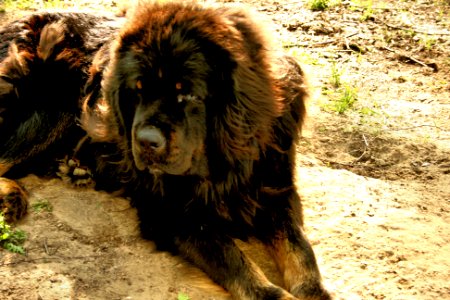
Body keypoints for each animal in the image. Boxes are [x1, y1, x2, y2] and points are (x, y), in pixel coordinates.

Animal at [0, 1, 330, 298]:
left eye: (188, 94)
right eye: (137, 90)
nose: (146, 141)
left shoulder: (274, 188)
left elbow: (300, 249)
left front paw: (314, 290)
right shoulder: (173, 212)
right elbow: (237, 263)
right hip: (54, 109)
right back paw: (13, 195)